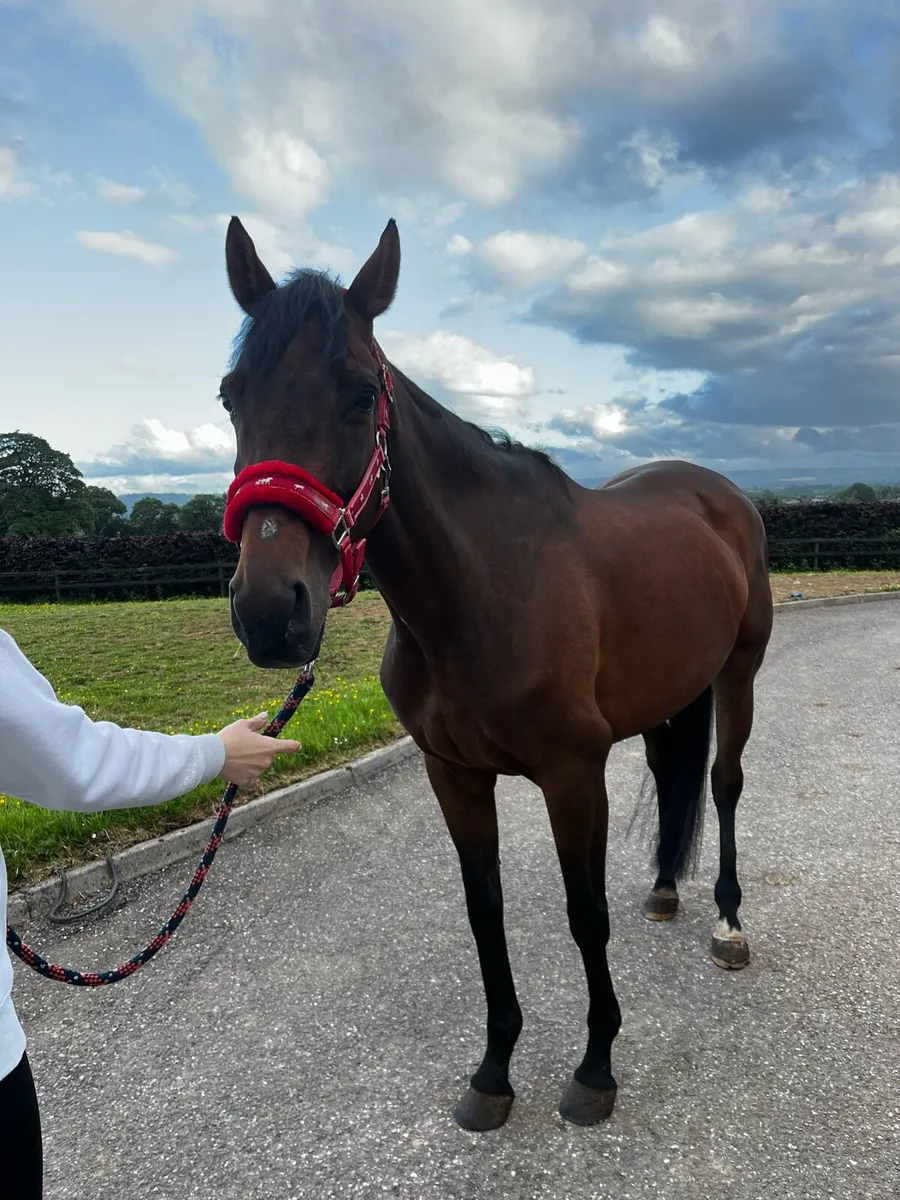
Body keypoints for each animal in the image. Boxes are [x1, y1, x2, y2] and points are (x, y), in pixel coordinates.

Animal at [218, 216, 773, 1132]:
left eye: (360, 394)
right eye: (232, 394)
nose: (269, 612)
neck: (480, 591)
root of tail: (717, 493)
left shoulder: (573, 775)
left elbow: (585, 914)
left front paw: (594, 1067)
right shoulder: (454, 776)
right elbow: (486, 914)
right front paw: (494, 1071)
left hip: (737, 674)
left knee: (723, 784)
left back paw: (729, 923)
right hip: (671, 691)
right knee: (673, 773)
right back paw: (664, 889)